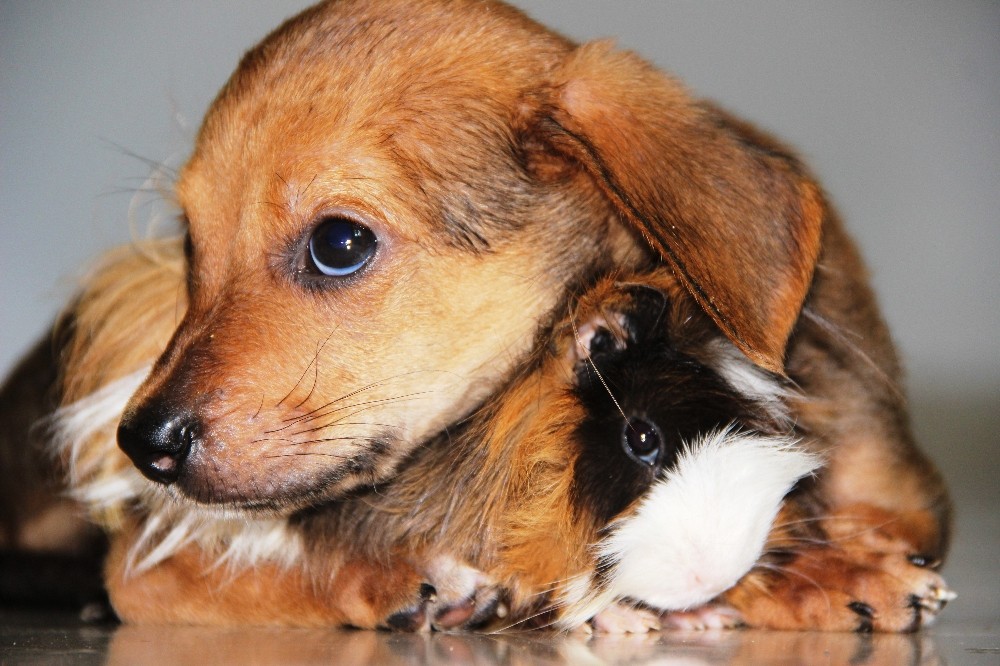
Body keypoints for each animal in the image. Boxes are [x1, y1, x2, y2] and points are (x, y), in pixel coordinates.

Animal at [3, 0, 948, 628]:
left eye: (339, 243)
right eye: (190, 245)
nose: (141, 444)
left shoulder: (903, 494)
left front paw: (812, 562)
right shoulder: (154, 562)